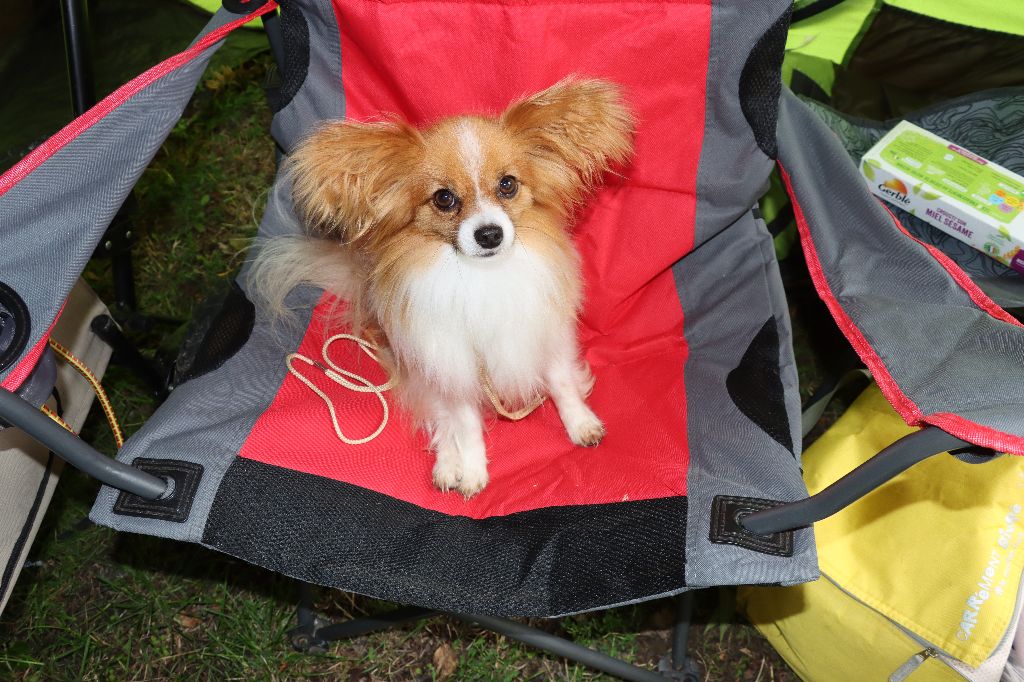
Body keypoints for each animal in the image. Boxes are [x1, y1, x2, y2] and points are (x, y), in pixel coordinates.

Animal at [249, 78, 630, 493]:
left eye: (508, 185)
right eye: (444, 198)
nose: (489, 234)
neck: (483, 277)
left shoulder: (544, 334)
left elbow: (562, 384)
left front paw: (581, 424)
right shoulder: (451, 363)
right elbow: (465, 425)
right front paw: (473, 472)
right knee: (442, 422)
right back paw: (449, 465)